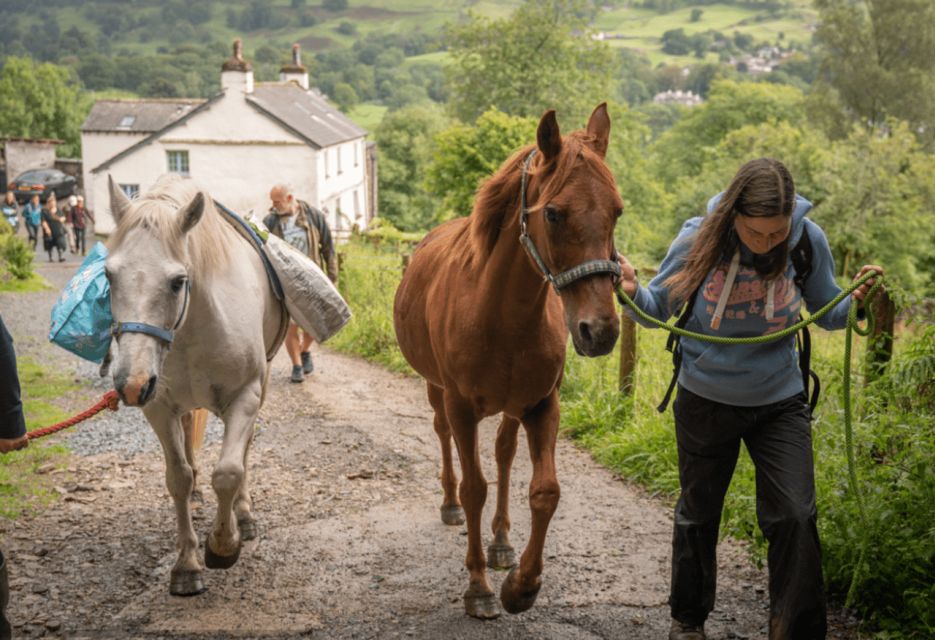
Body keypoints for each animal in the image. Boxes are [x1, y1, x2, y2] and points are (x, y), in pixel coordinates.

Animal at [105, 175, 286, 596]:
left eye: (177, 281)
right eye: (108, 276)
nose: (131, 383)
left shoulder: (245, 397)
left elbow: (229, 472)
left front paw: (223, 544)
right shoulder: (158, 407)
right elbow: (179, 478)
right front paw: (186, 564)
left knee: (243, 455)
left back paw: (244, 516)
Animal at [394, 106, 620, 620]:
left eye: (617, 210)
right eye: (553, 213)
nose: (600, 330)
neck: (500, 314)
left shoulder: (542, 405)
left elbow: (544, 490)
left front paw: (521, 585)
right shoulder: (461, 407)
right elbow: (474, 487)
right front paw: (478, 586)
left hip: (514, 408)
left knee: (503, 451)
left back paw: (500, 542)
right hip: (437, 391)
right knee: (443, 437)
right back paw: (449, 505)